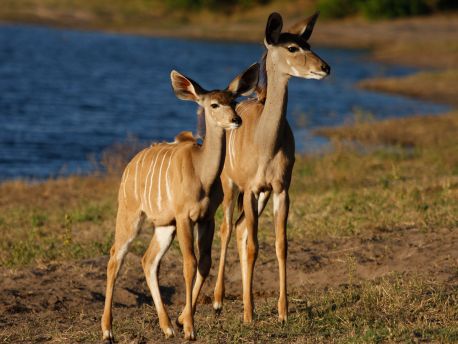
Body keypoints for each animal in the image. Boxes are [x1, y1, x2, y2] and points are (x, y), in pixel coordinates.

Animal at [102, 63, 260, 340]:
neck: (201, 173)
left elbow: (204, 263)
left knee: (148, 260)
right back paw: (108, 331)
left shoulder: (206, 217)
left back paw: (166, 327)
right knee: (115, 257)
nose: (236, 120)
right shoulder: (184, 216)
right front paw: (189, 329)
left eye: (234, 101)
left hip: (165, 226)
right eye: (214, 104)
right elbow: (189, 264)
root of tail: (130, 164)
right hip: (131, 214)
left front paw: (183, 321)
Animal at [213, 12, 330, 322]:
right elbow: (254, 246)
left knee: (240, 228)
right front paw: (248, 316)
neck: (265, 141)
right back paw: (218, 302)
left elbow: (281, 245)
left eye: (308, 43)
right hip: (231, 187)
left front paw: (283, 312)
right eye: (292, 47)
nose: (325, 67)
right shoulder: (251, 189)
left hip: (260, 196)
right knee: (227, 229)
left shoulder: (280, 190)